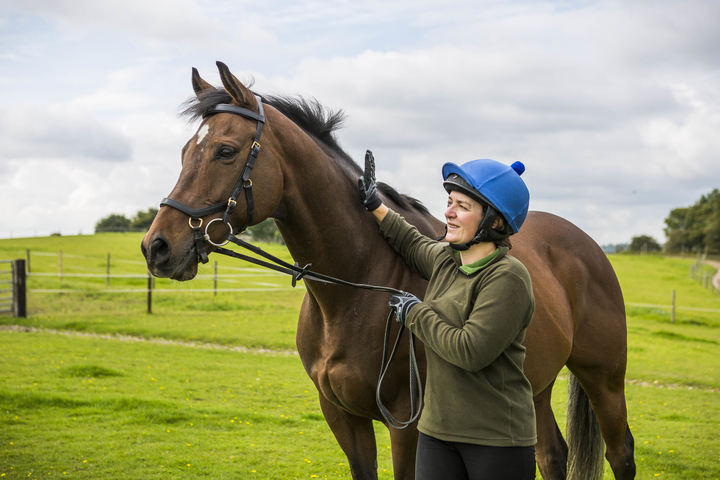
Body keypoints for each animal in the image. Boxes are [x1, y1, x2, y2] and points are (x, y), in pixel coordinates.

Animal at [141, 62, 636, 480]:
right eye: (185, 151)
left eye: (225, 151)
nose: (156, 247)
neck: (356, 289)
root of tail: (588, 246)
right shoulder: (343, 417)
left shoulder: (409, 425)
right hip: (535, 386)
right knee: (552, 455)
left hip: (604, 379)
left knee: (621, 453)